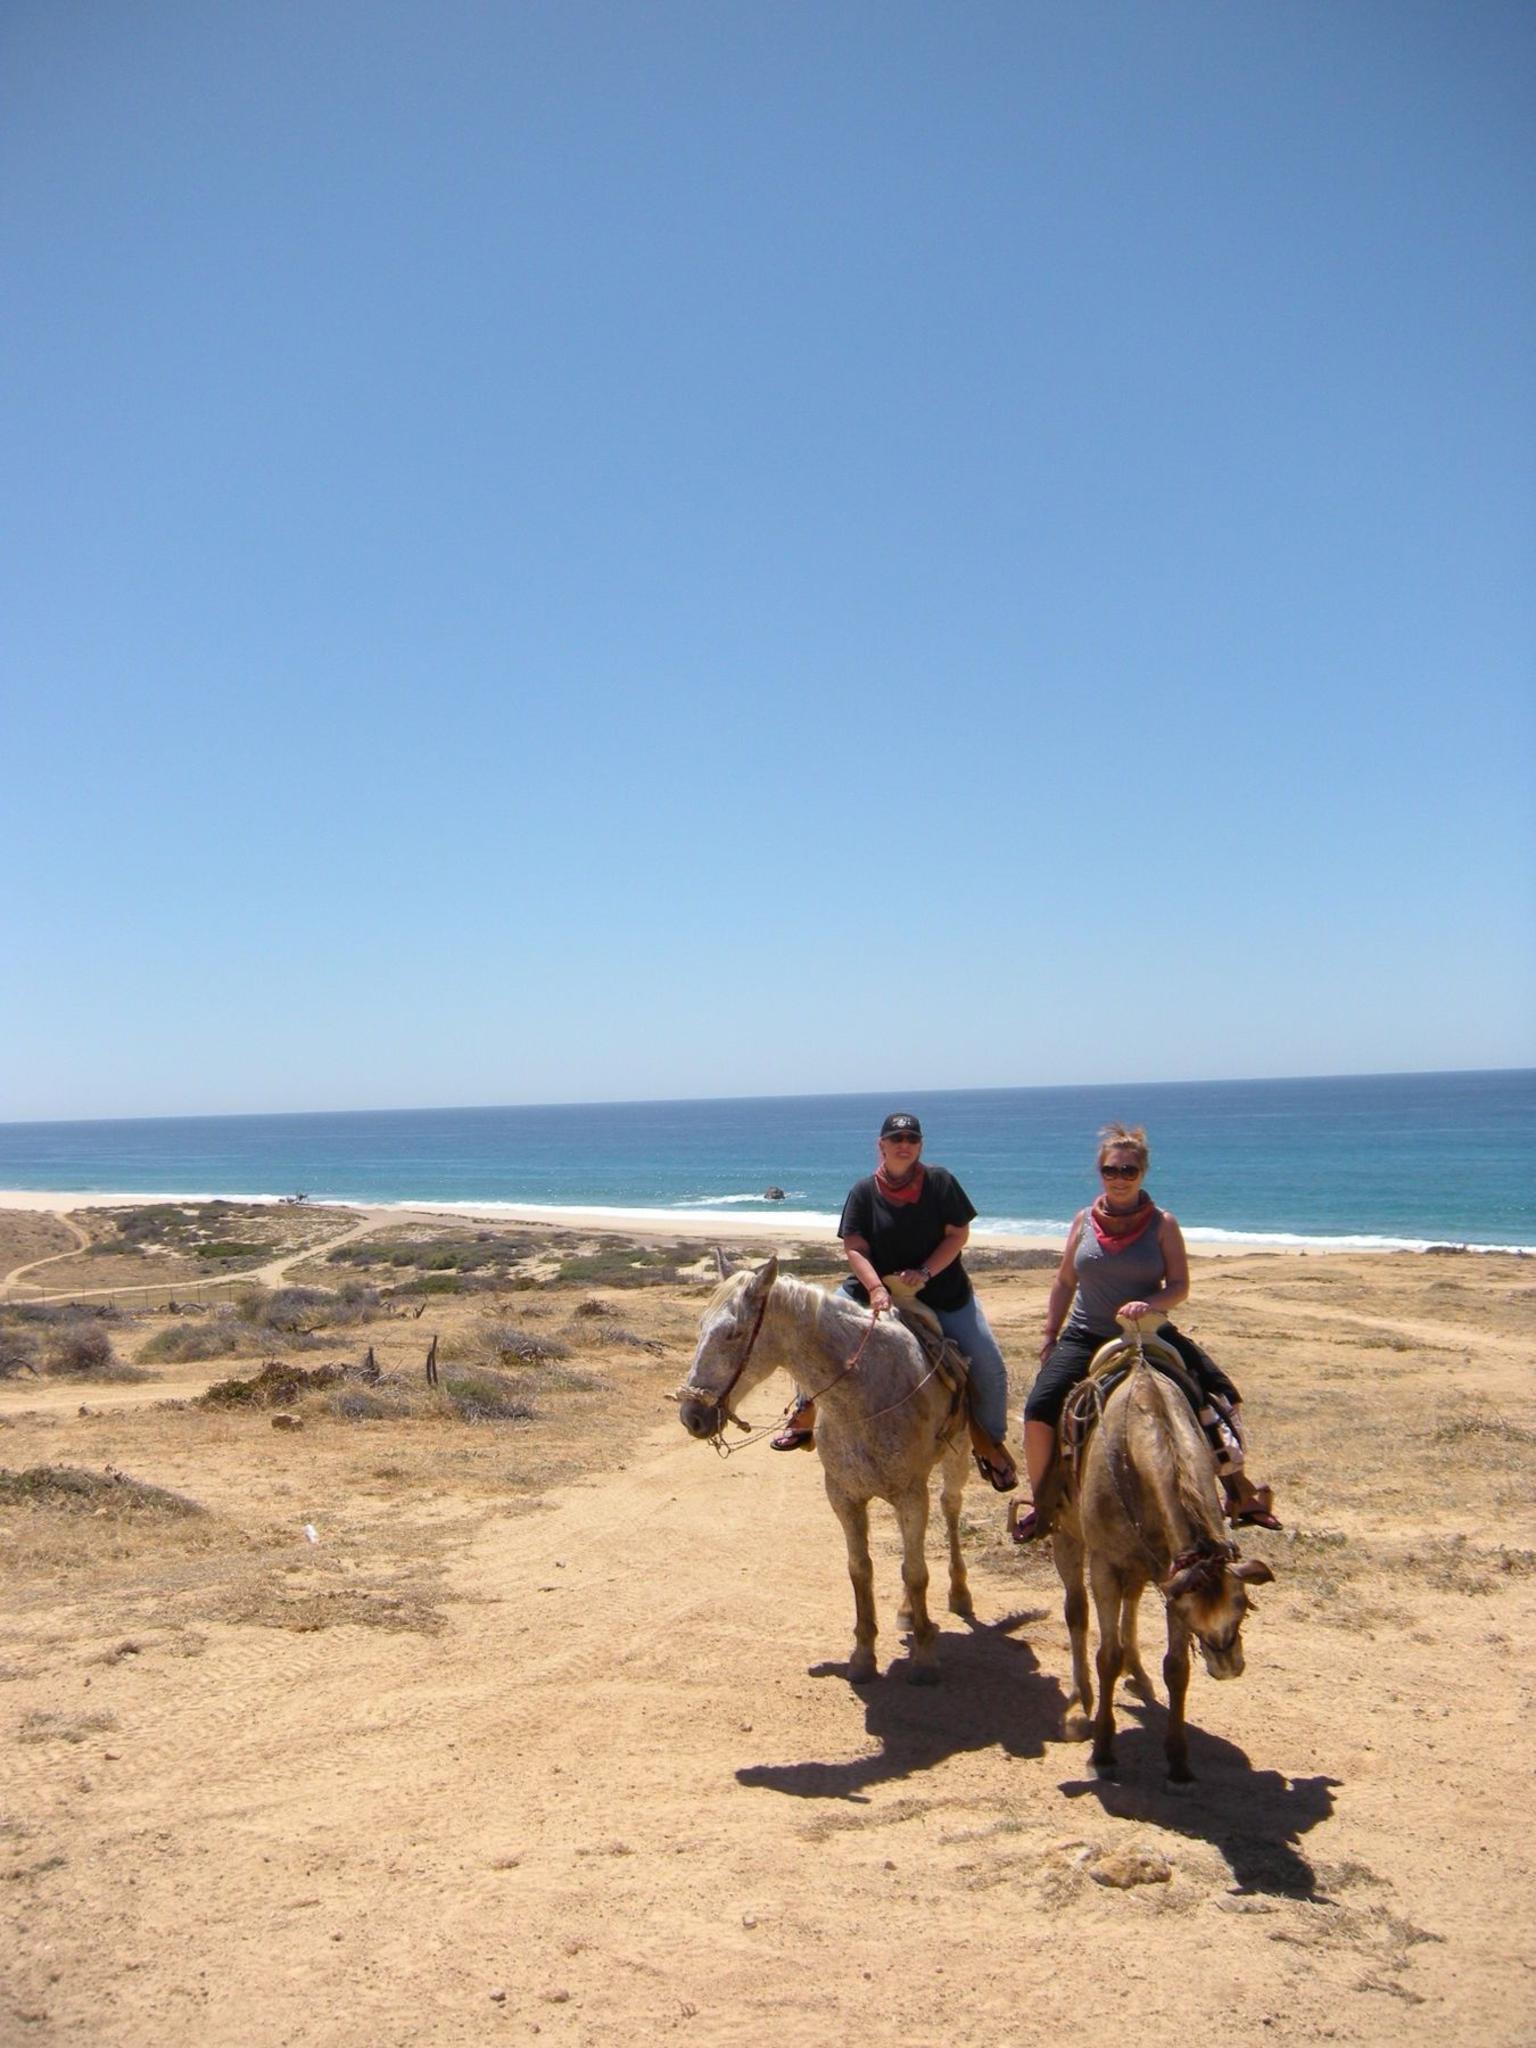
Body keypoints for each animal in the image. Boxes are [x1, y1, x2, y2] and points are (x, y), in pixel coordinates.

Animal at [675, 1253, 974, 1687]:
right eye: (700, 1327)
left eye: (734, 1333)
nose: (692, 1416)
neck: (862, 1396)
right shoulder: (844, 1497)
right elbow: (861, 1570)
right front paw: (863, 1656)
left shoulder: (910, 1494)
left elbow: (915, 1572)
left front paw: (924, 1659)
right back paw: (907, 1612)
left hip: (957, 1457)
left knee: (950, 1509)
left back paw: (959, 1594)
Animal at [1056, 1327, 1277, 1777]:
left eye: (1242, 1608)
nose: (1228, 1666)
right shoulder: (1105, 1566)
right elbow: (1106, 1655)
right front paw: (1103, 1749)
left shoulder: (1173, 1575)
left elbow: (1176, 1667)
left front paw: (1178, 1760)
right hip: (1068, 1537)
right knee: (1076, 1611)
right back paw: (1079, 1704)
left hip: (1142, 1563)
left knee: (1131, 1601)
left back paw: (1137, 1673)